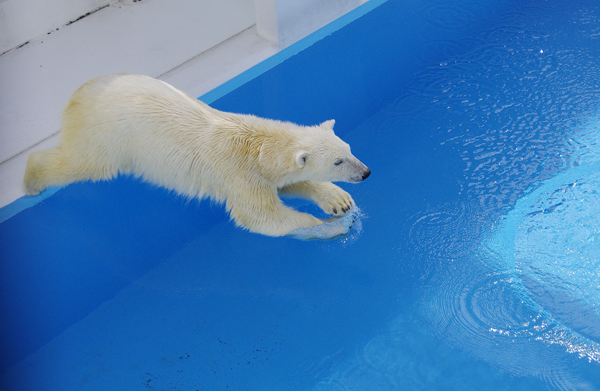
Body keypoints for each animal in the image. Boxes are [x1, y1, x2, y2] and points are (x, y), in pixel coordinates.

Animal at [23, 74, 370, 237]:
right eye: (338, 161)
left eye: (348, 150)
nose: (366, 172)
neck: (256, 146)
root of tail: (80, 93)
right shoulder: (237, 173)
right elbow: (262, 217)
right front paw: (337, 226)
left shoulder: (259, 171)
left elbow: (289, 183)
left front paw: (339, 201)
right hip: (108, 137)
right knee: (82, 162)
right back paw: (31, 179)